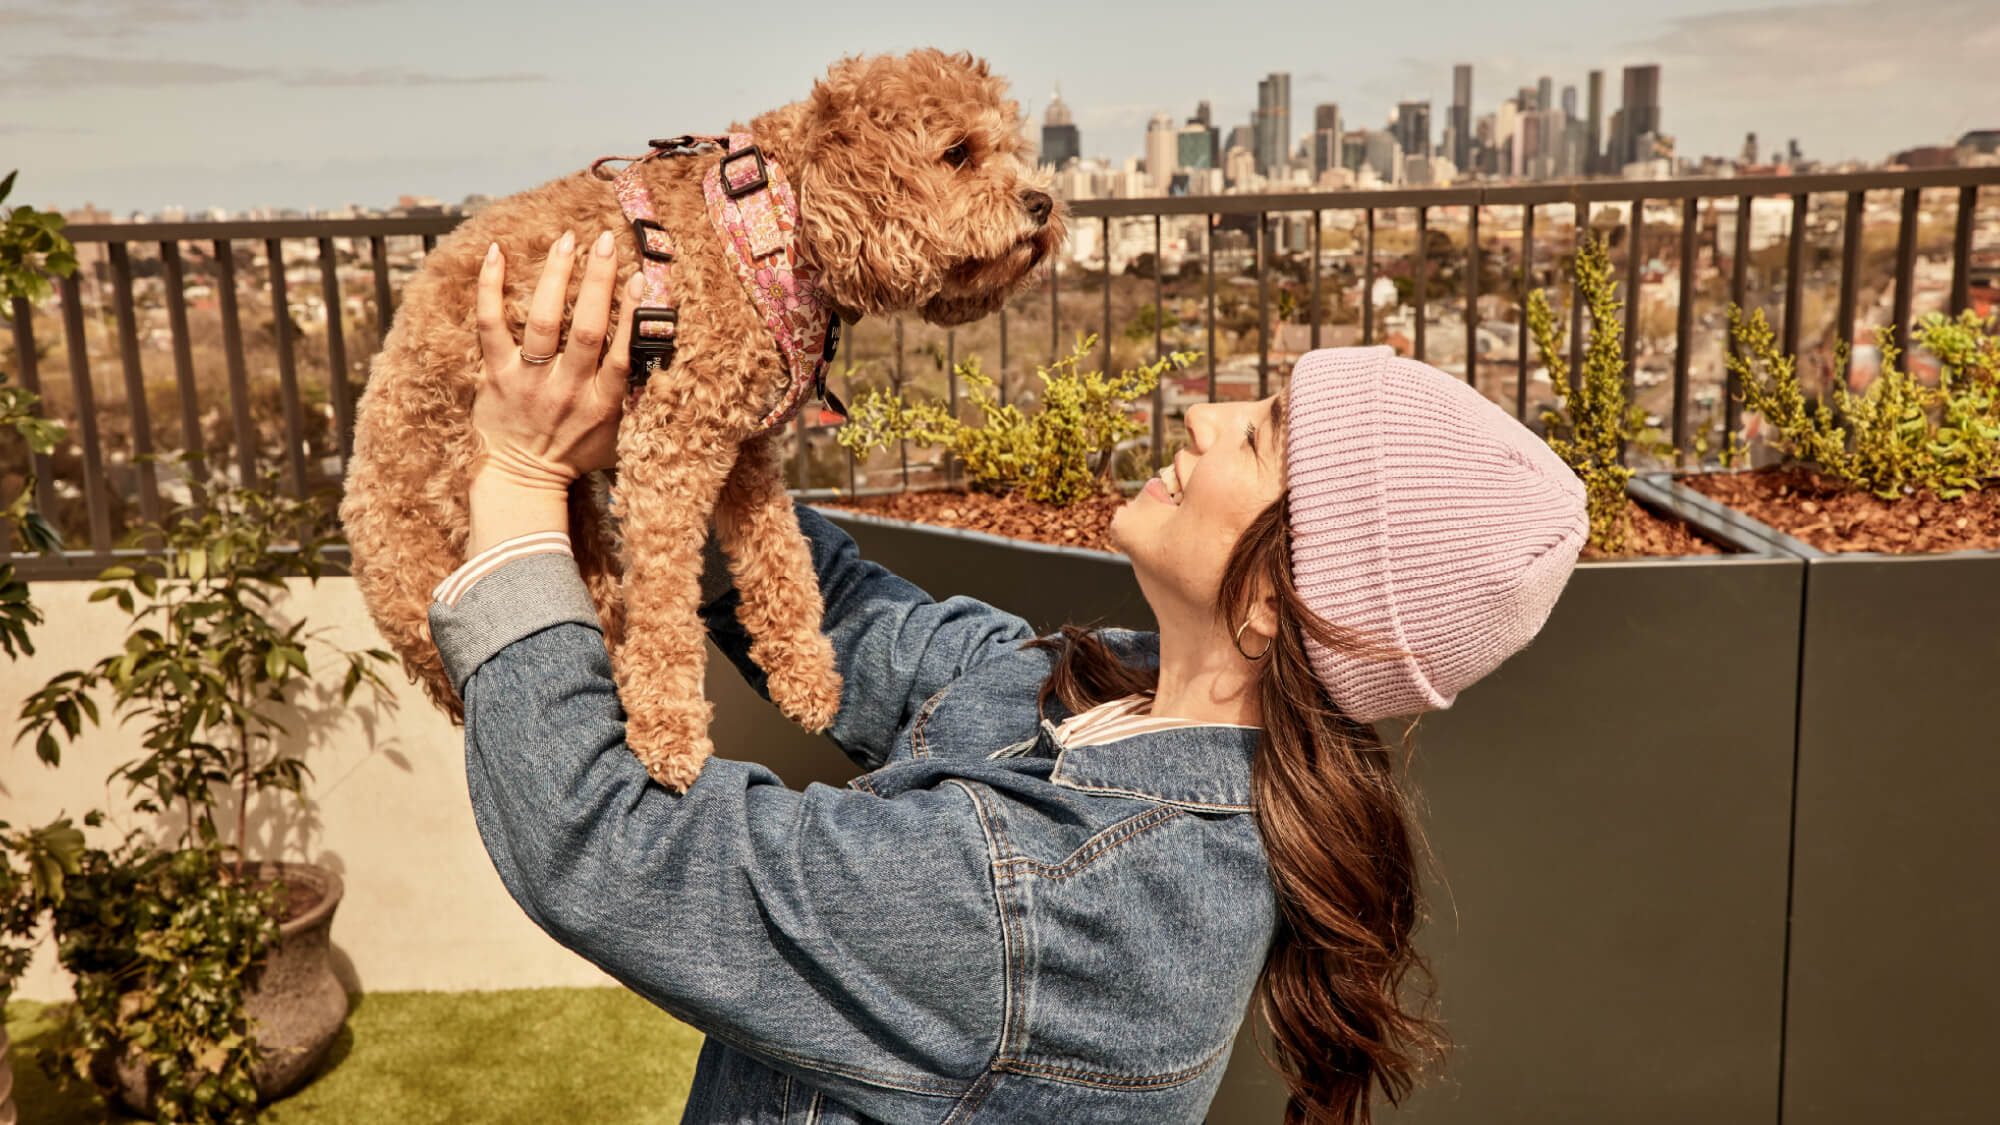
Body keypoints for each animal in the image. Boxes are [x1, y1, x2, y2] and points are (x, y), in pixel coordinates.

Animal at [338, 50, 1072, 788]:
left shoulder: (744, 446)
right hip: (430, 553)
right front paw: (670, 728)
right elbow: (666, 597)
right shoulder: (672, 443)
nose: (1042, 204)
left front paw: (805, 673)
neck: (767, 221)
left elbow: (782, 554)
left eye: (1009, 149)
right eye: (957, 154)